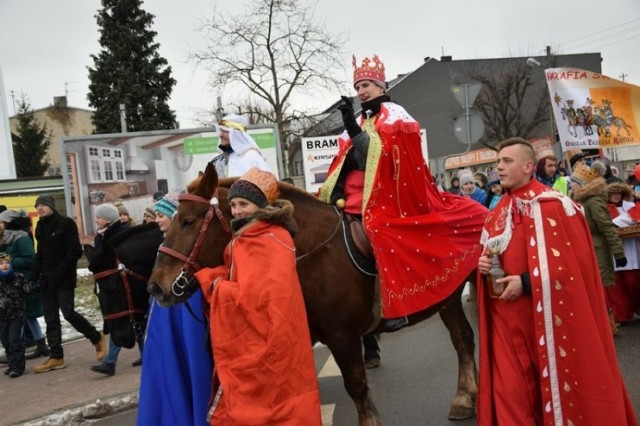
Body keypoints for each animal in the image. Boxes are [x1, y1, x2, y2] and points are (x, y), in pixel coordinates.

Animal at [148, 162, 478, 422]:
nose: (156, 286)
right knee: (462, 337)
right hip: (447, 298)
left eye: (188, 221)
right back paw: (464, 398)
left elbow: (356, 386)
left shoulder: (343, 335)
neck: (306, 250)